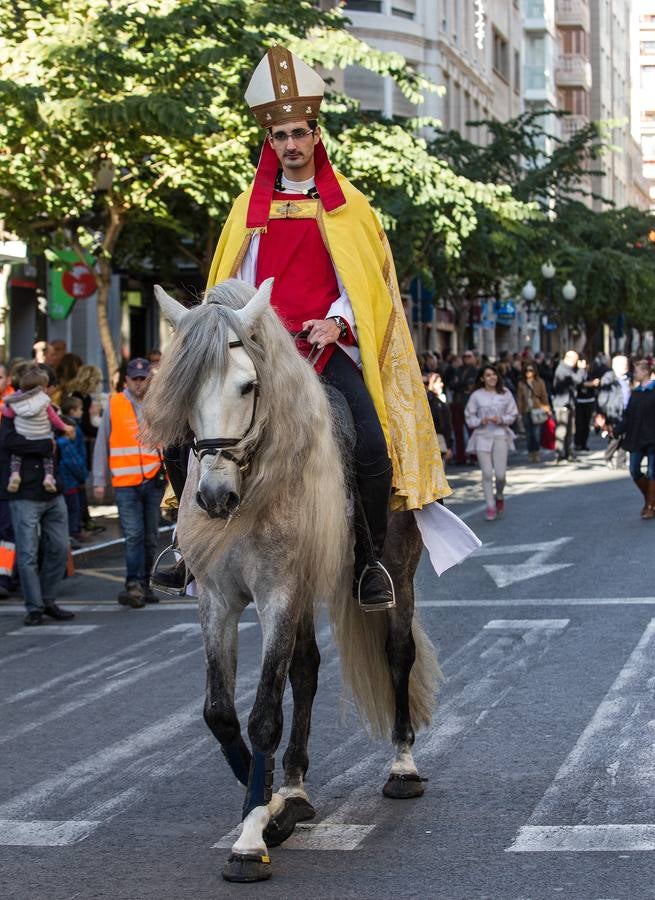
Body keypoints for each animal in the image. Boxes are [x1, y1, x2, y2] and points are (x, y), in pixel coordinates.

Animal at [144, 278, 440, 884]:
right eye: (183, 390)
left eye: (248, 385)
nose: (214, 498)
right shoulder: (219, 600)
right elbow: (220, 712)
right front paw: (273, 805)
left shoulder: (277, 593)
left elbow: (262, 717)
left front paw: (251, 838)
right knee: (306, 670)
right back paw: (298, 789)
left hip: (396, 569)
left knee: (398, 655)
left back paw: (402, 766)